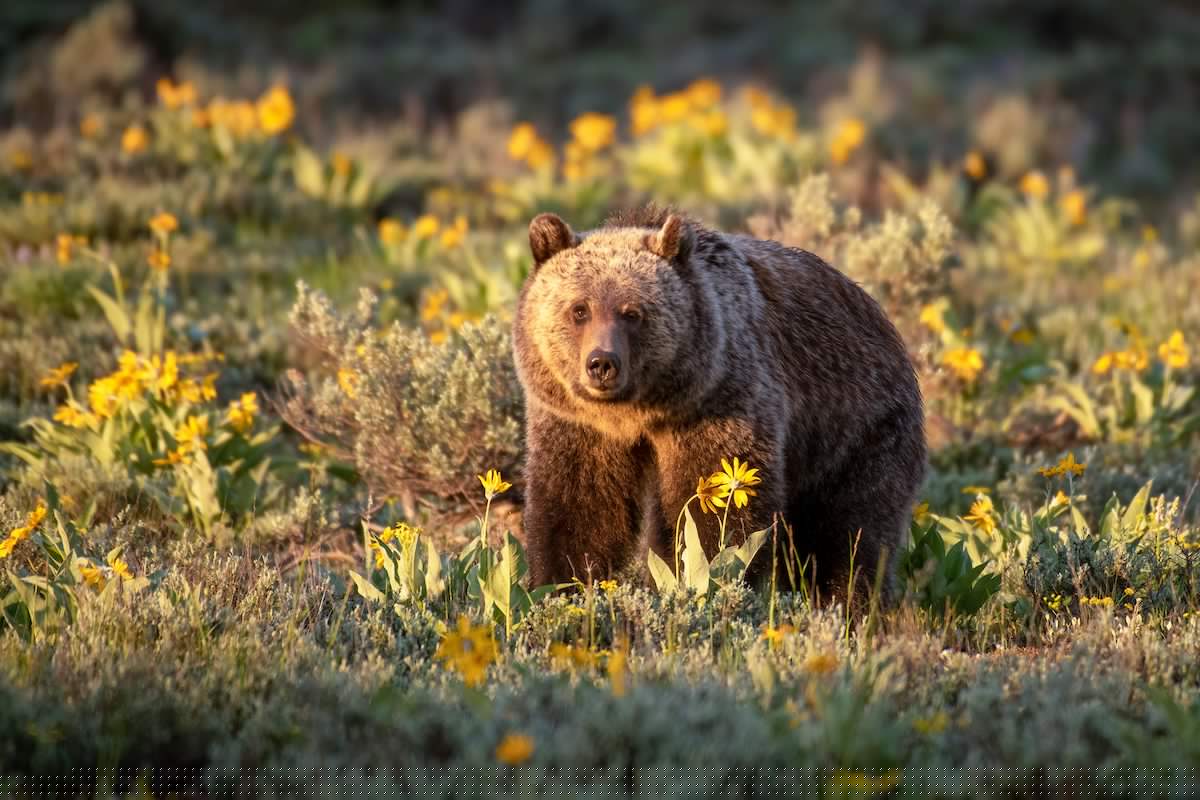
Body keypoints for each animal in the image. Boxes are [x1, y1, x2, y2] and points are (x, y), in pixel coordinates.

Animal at [513, 206, 926, 604]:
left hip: (857, 430)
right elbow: (579, 507)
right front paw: (561, 585)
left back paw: (849, 604)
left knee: (851, 535)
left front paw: (705, 575)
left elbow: (715, 511)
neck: (640, 411)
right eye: (579, 310)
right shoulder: (580, 425)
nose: (601, 363)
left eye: (633, 313)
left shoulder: (719, 403)